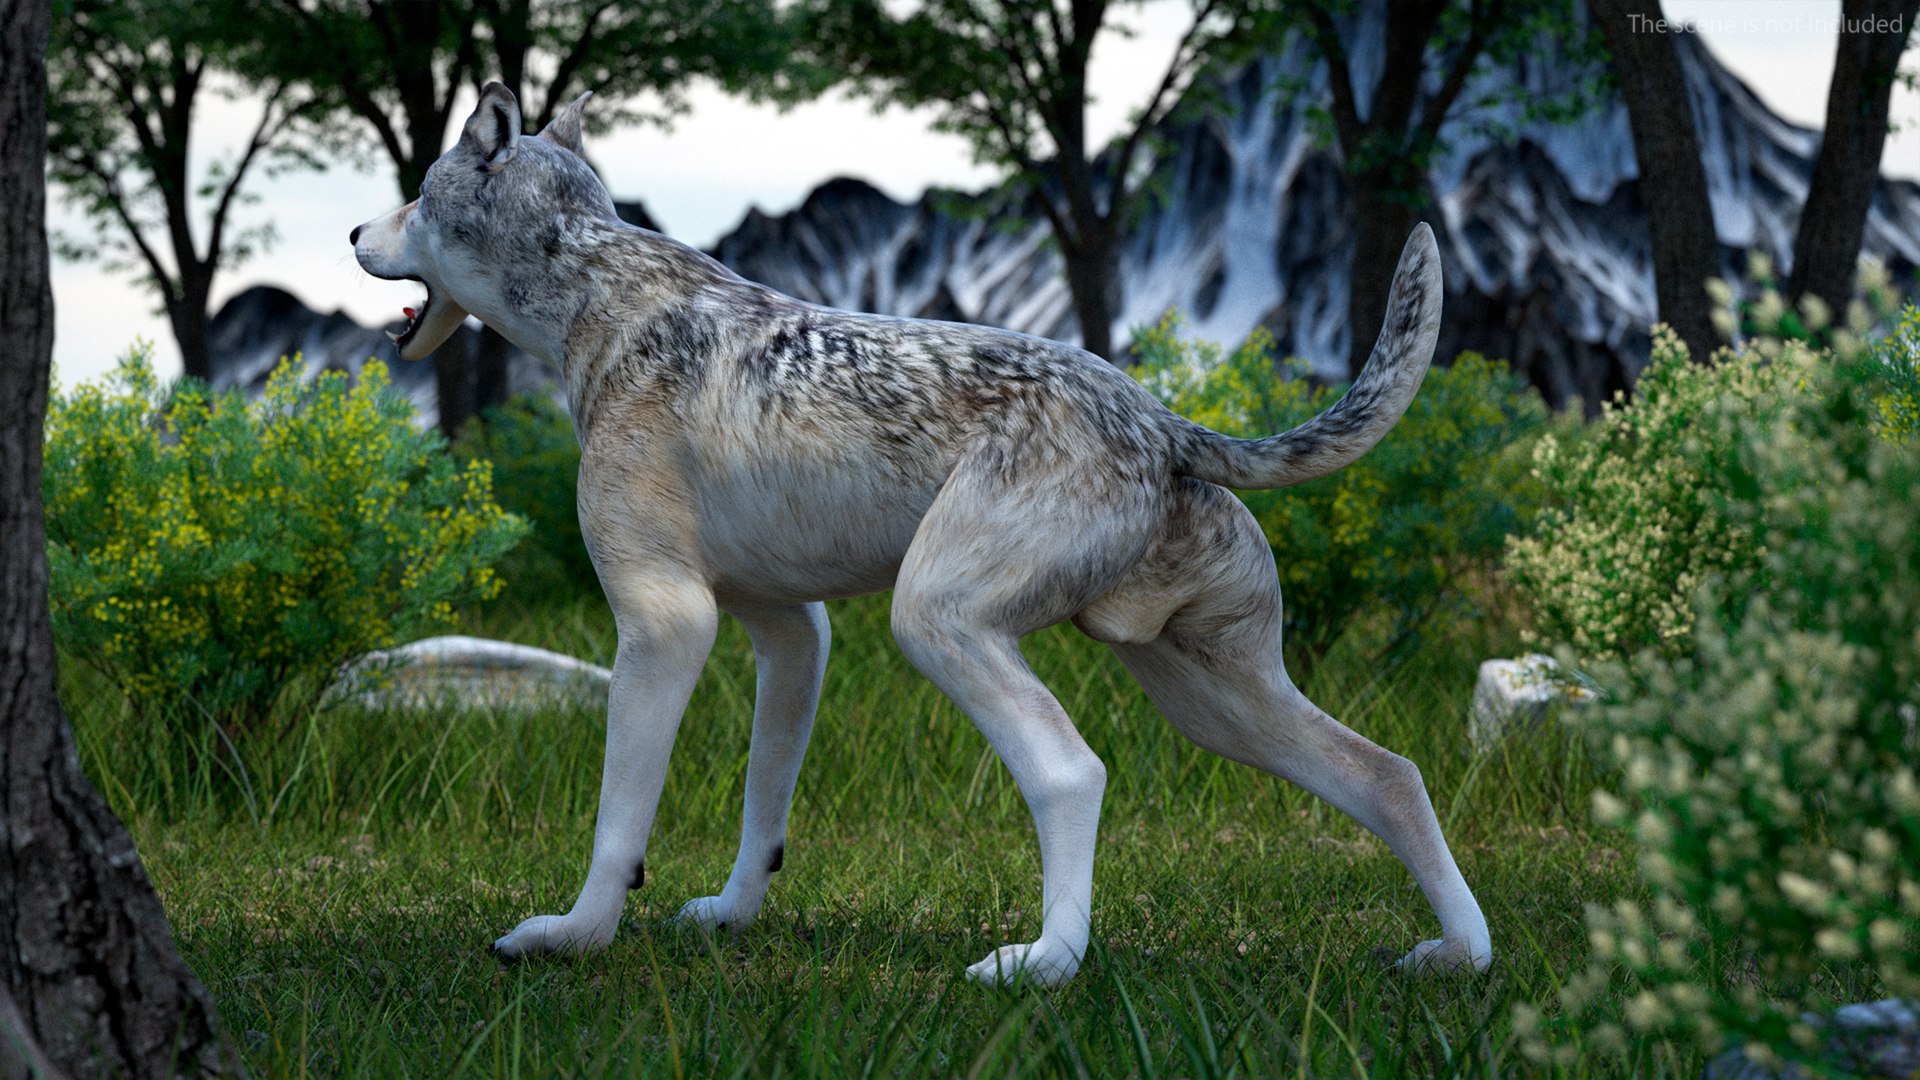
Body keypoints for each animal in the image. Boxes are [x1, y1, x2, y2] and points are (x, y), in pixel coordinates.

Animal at [351, 83, 1492, 987]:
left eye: (418, 197)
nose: (354, 235)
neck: (598, 288)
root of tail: (1163, 423)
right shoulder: (790, 634)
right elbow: (765, 802)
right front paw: (730, 917)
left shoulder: (663, 624)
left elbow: (615, 825)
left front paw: (573, 937)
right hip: (1215, 696)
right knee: (1388, 775)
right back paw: (1459, 956)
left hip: (942, 622)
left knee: (1072, 774)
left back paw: (1043, 965)